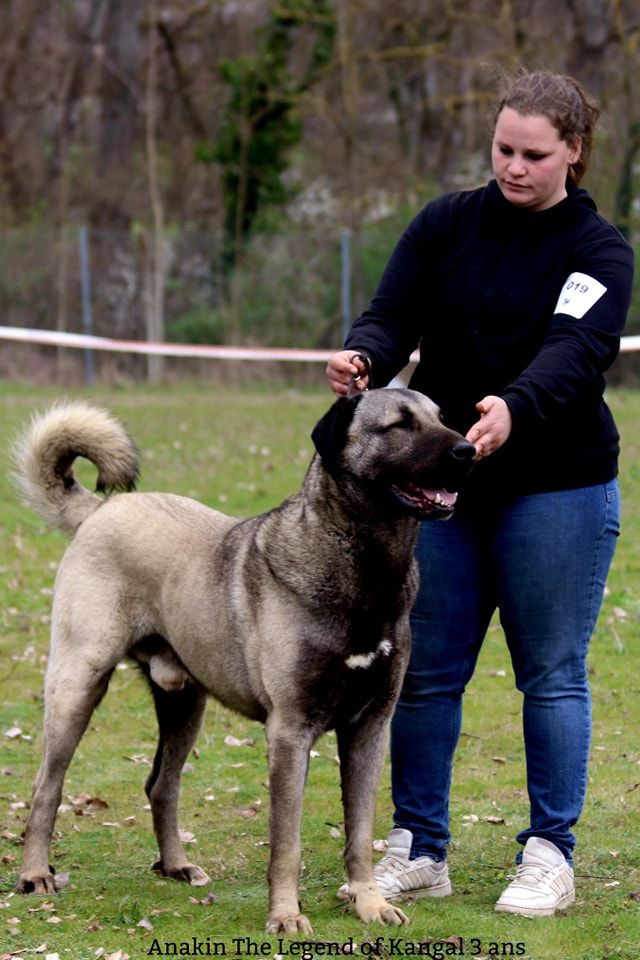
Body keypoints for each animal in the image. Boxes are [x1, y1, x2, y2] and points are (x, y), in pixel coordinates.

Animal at [12, 388, 476, 928]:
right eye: (399, 425)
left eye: (441, 417)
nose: (469, 450)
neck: (363, 565)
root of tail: (99, 510)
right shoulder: (290, 734)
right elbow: (287, 843)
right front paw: (286, 916)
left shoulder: (369, 729)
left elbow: (359, 834)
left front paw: (370, 902)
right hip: (79, 683)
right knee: (47, 786)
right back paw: (35, 874)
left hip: (183, 704)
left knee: (161, 785)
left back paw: (176, 865)